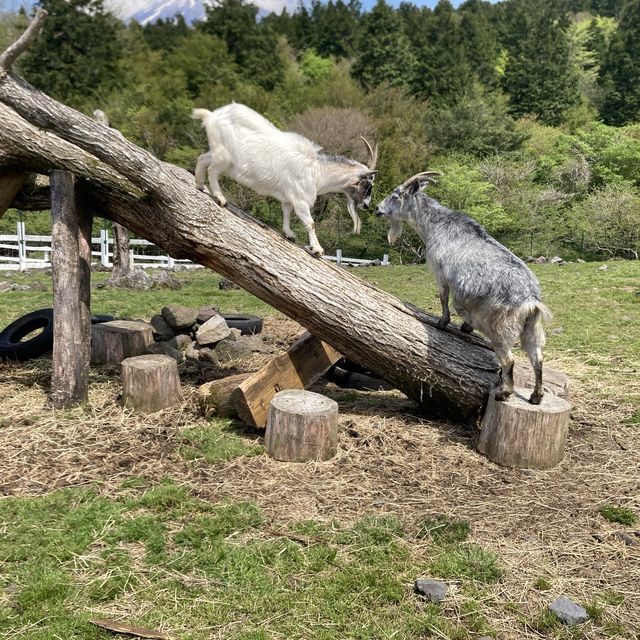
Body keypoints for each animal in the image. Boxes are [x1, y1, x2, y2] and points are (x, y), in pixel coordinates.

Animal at [192, 103, 378, 255]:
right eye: (367, 184)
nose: (367, 205)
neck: (318, 172)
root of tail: (211, 116)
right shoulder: (300, 200)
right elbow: (310, 223)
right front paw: (317, 249)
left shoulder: (288, 197)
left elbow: (286, 212)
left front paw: (289, 234)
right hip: (224, 156)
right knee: (212, 171)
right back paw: (220, 198)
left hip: (218, 154)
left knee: (202, 158)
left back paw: (200, 185)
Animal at [378, 172, 552, 402]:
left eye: (396, 196)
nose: (377, 209)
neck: (436, 226)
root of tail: (530, 300)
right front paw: (465, 326)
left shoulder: (440, 273)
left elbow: (443, 297)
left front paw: (442, 322)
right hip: (532, 328)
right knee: (537, 358)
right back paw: (536, 396)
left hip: (501, 327)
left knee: (509, 360)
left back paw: (503, 392)